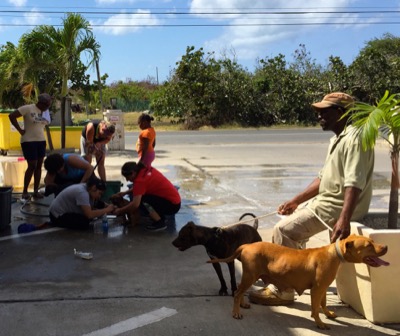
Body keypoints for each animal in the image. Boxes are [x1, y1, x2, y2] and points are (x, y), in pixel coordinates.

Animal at [208, 235, 390, 330]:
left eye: (372, 241)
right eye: (368, 245)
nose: (386, 246)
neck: (335, 253)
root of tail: (247, 245)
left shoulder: (322, 287)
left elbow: (323, 304)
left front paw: (328, 314)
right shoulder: (317, 289)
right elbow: (315, 308)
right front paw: (320, 323)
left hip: (249, 276)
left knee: (239, 290)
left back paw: (243, 304)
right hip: (250, 276)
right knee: (238, 292)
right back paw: (236, 312)